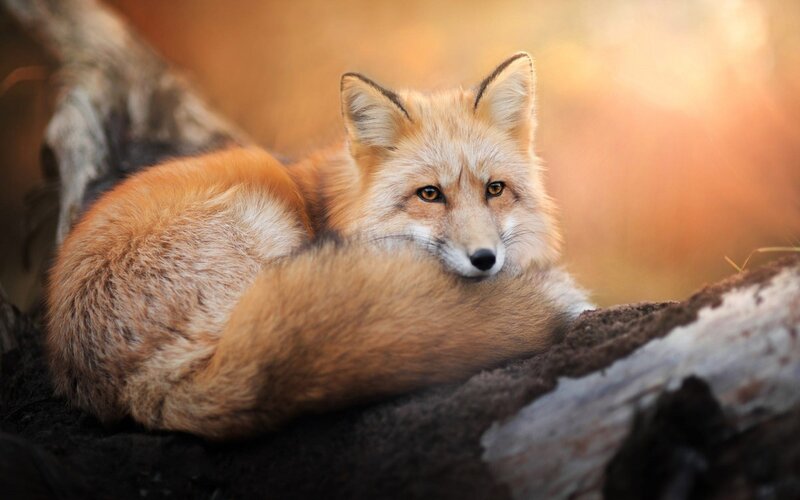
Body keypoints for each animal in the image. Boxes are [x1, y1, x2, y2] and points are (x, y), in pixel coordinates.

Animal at [46, 52, 592, 440]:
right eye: (429, 194)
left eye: (494, 189)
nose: (485, 260)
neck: (334, 205)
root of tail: (140, 387)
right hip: (264, 219)